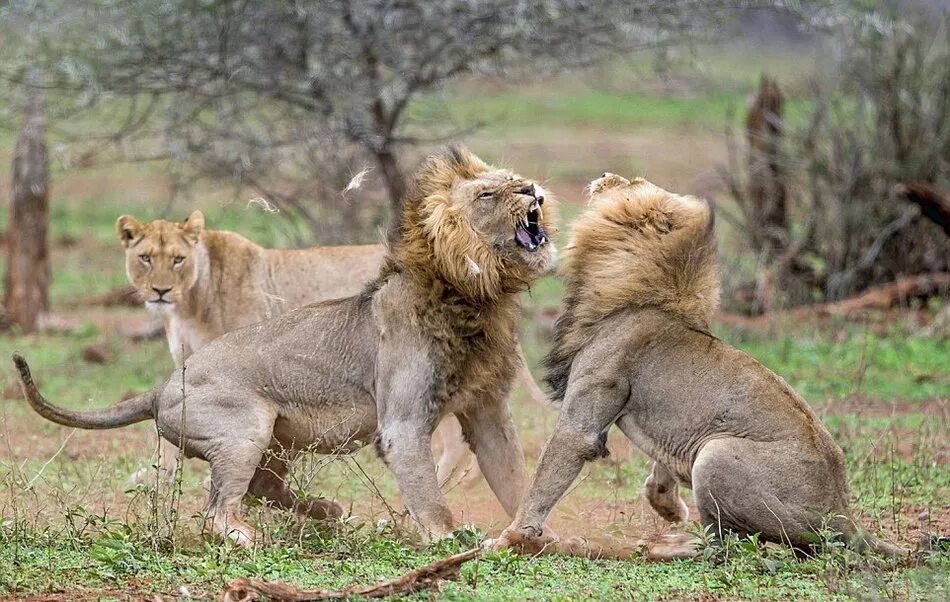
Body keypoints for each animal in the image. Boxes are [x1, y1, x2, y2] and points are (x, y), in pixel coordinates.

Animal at [115, 209, 548, 486]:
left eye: (178, 260)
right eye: (145, 258)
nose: (159, 291)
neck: (189, 303)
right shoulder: (189, 365)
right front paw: (158, 477)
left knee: (452, 442)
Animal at [490, 176, 908, 556]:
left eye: (630, 182)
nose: (605, 175)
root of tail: (844, 516)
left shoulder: (587, 411)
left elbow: (545, 479)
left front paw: (509, 539)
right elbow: (660, 466)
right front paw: (667, 504)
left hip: (716, 455)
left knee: (728, 547)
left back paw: (664, 546)